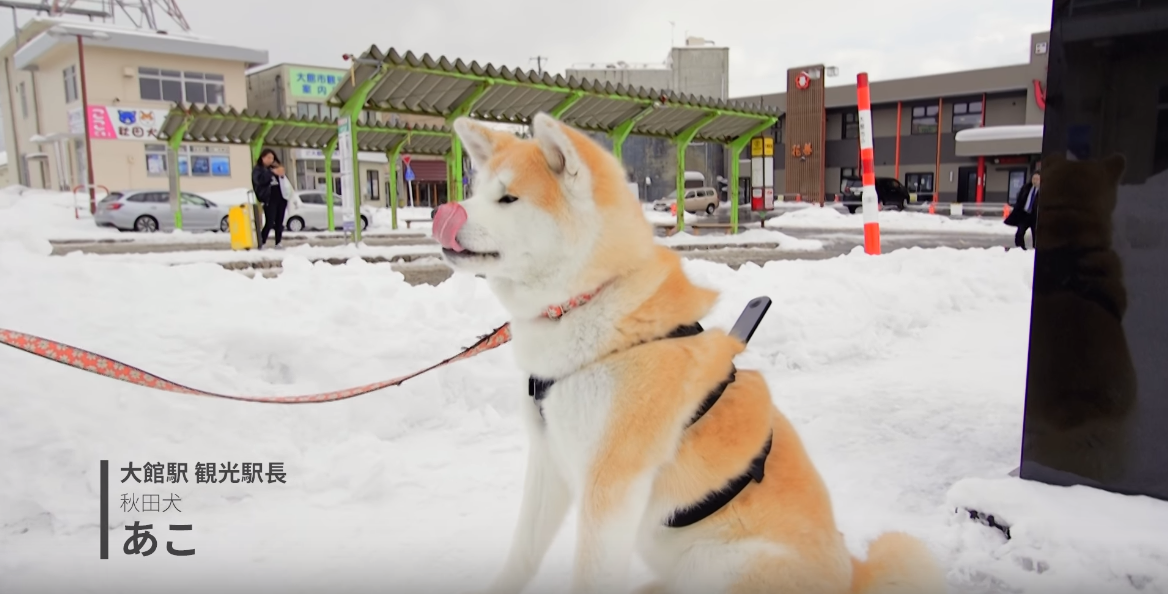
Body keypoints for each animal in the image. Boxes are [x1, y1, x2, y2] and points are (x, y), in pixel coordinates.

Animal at [434, 112, 943, 592]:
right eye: (476, 191)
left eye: (509, 198)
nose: (443, 210)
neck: (589, 308)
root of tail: (852, 576)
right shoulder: (550, 462)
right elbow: (522, 554)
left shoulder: (610, 484)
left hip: (729, 564)